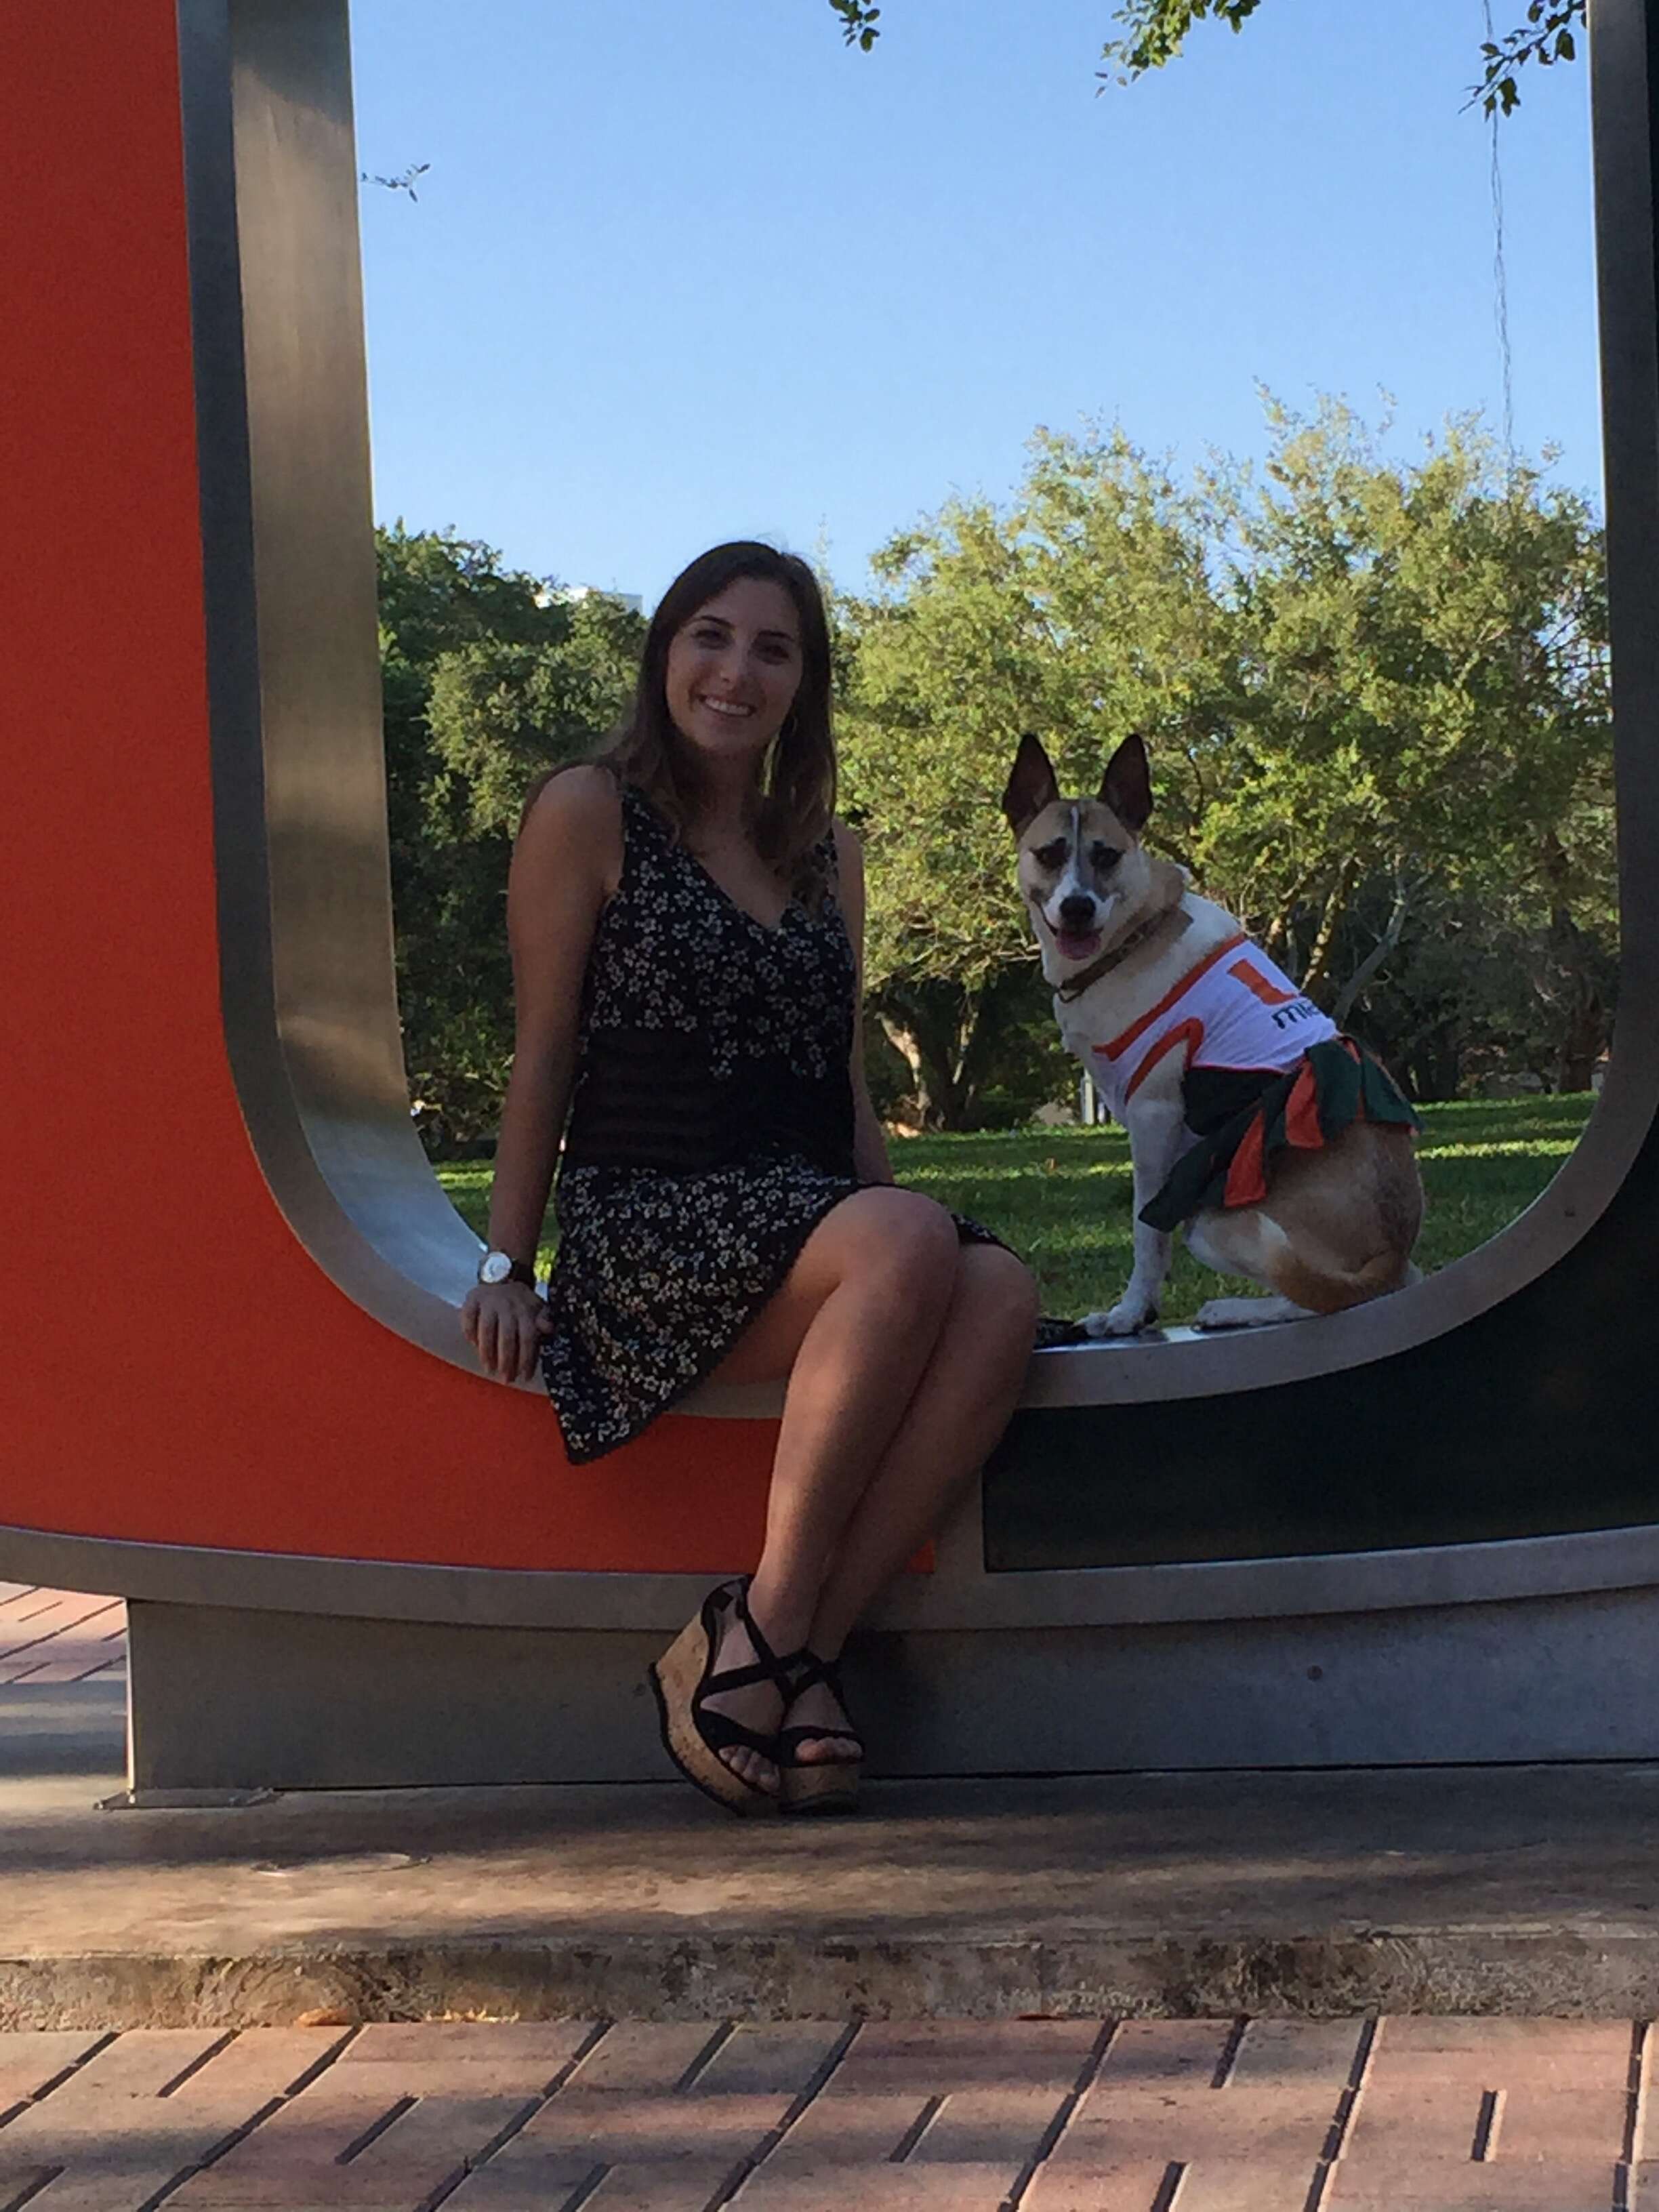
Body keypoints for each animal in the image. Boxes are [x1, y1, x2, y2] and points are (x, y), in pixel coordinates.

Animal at [1008, 734, 1425, 1336]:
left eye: (1106, 855)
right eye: (1049, 853)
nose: (1078, 907)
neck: (1134, 937)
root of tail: (1391, 1252)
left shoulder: (1154, 1117)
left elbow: (1146, 1233)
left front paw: (1130, 1312)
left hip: (1210, 1223)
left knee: (1323, 1298)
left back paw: (1233, 1309)